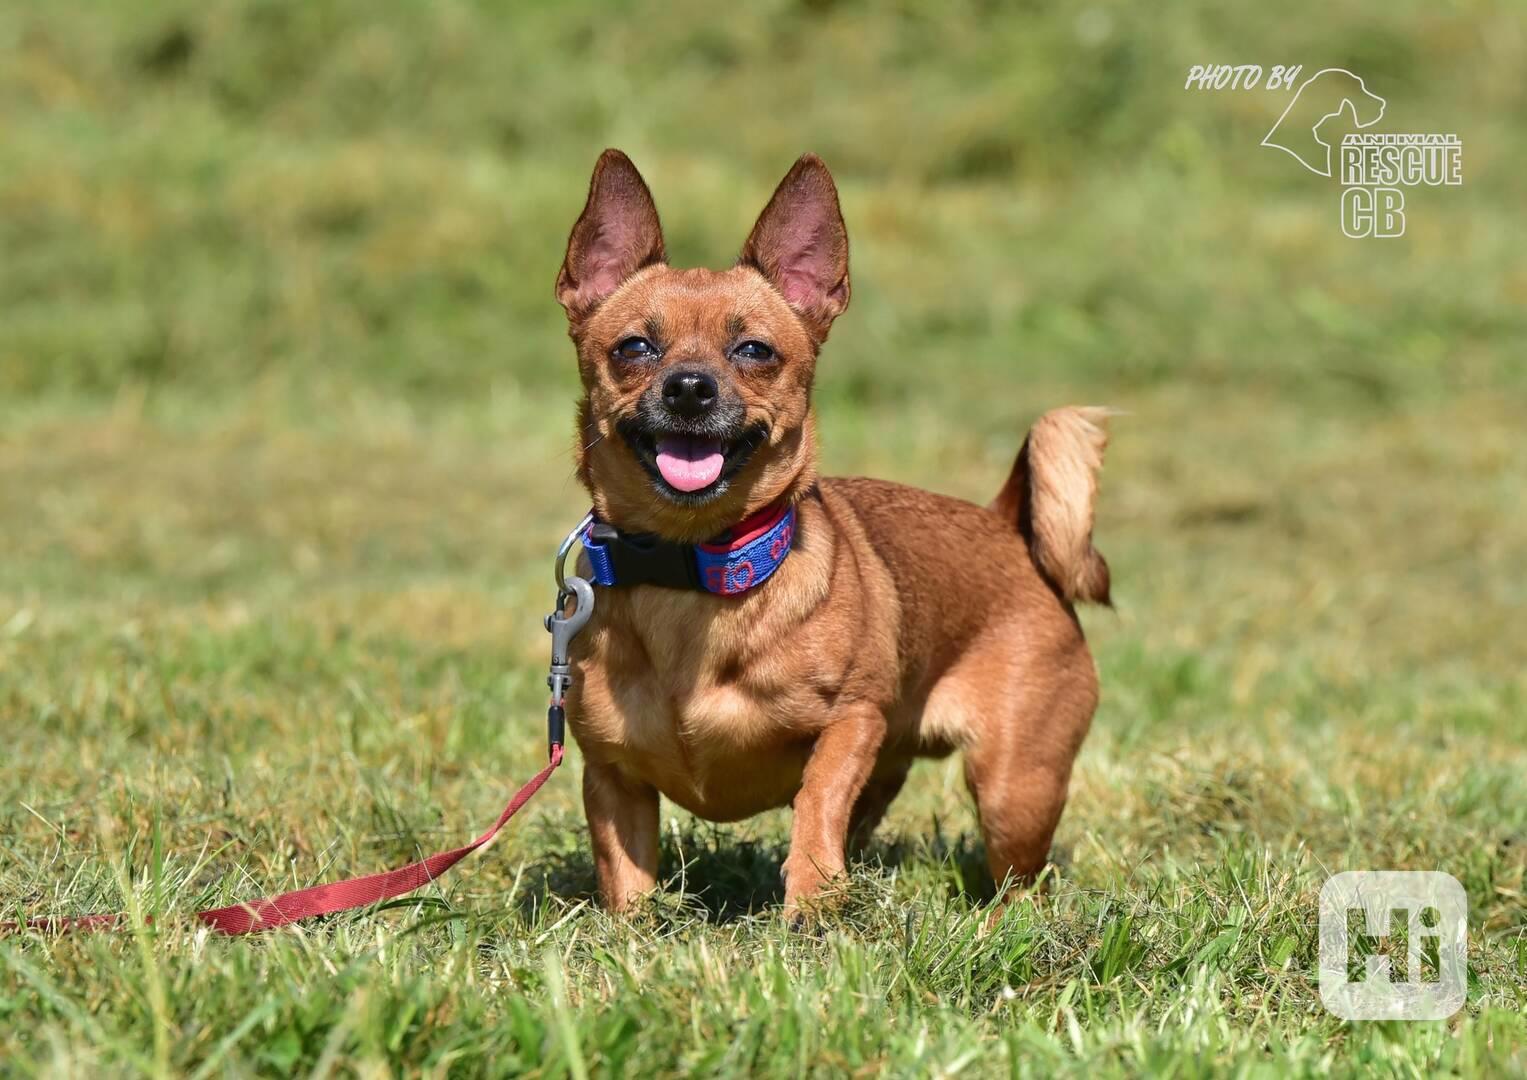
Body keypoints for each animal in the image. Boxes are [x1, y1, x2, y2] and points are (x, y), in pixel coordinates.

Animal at [555, 149, 1105, 910]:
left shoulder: (851, 722)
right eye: (634, 347)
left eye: (755, 351)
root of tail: (1004, 524)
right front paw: (632, 933)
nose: (689, 386)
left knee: (1015, 884)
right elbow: (627, 883)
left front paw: (809, 900)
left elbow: (817, 800)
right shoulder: (612, 777)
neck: (693, 573)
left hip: (1014, 790)